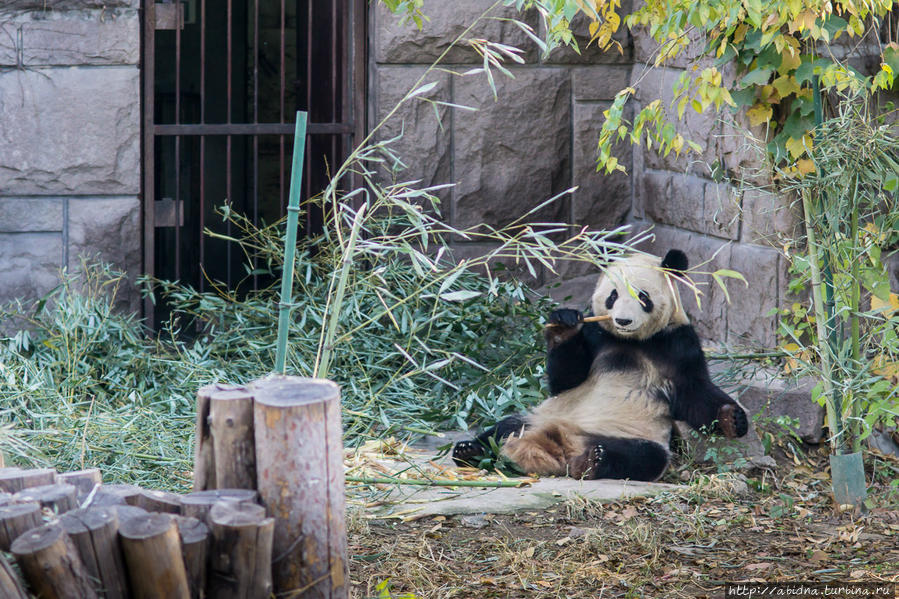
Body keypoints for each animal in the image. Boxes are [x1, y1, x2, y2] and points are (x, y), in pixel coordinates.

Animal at [454, 250, 748, 482]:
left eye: (643, 297)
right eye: (613, 295)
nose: (623, 320)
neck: (633, 341)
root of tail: (565, 444)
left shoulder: (678, 343)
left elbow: (694, 393)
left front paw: (732, 418)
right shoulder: (596, 335)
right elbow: (565, 379)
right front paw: (563, 325)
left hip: (636, 433)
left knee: (643, 457)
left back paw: (593, 461)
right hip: (539, 417)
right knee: (505, 428)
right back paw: (469, 451)